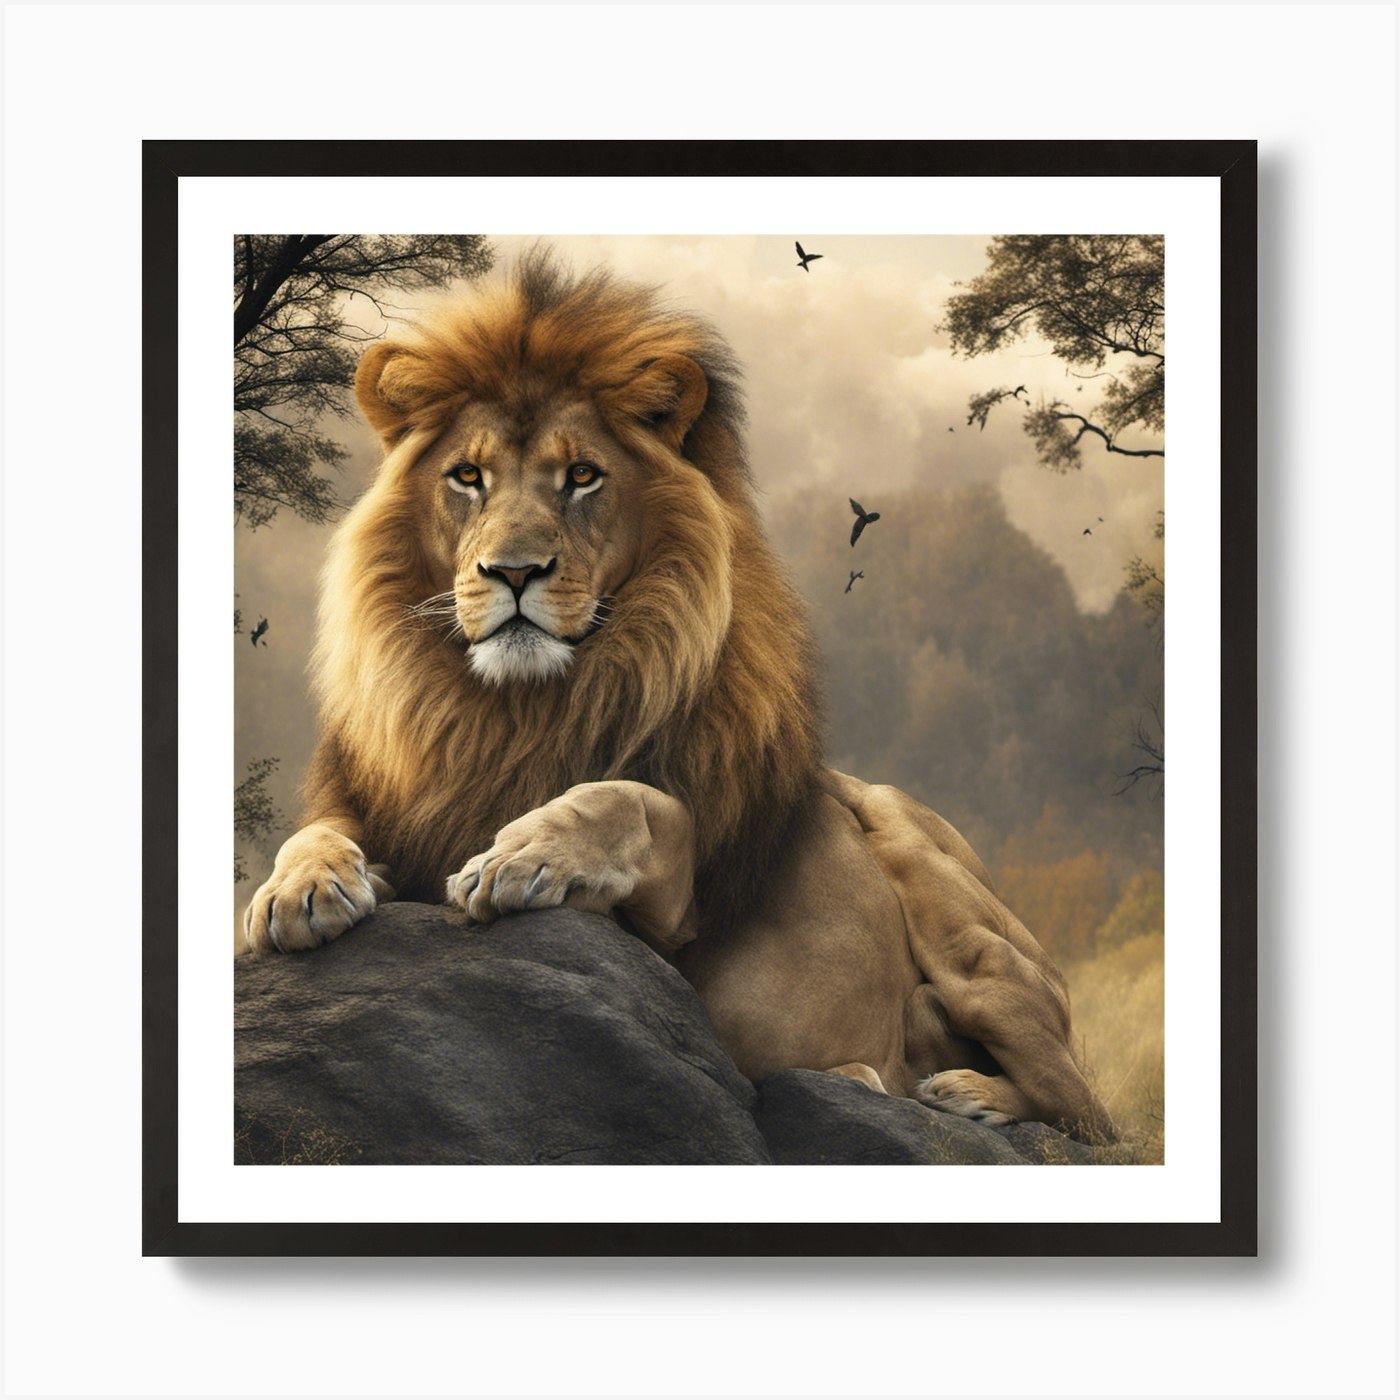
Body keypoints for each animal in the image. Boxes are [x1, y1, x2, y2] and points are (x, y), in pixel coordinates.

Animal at [244, 251, 1118, 1145]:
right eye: (467, 477)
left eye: (582, 477)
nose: (514, 572)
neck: (518, 710)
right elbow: (314, 832)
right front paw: (301, 889)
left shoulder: (680, 912)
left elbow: (629, 799)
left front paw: (520, 857)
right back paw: (873, 1073)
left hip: (948, 899)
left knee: (1083, 1107)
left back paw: (956, 1092)